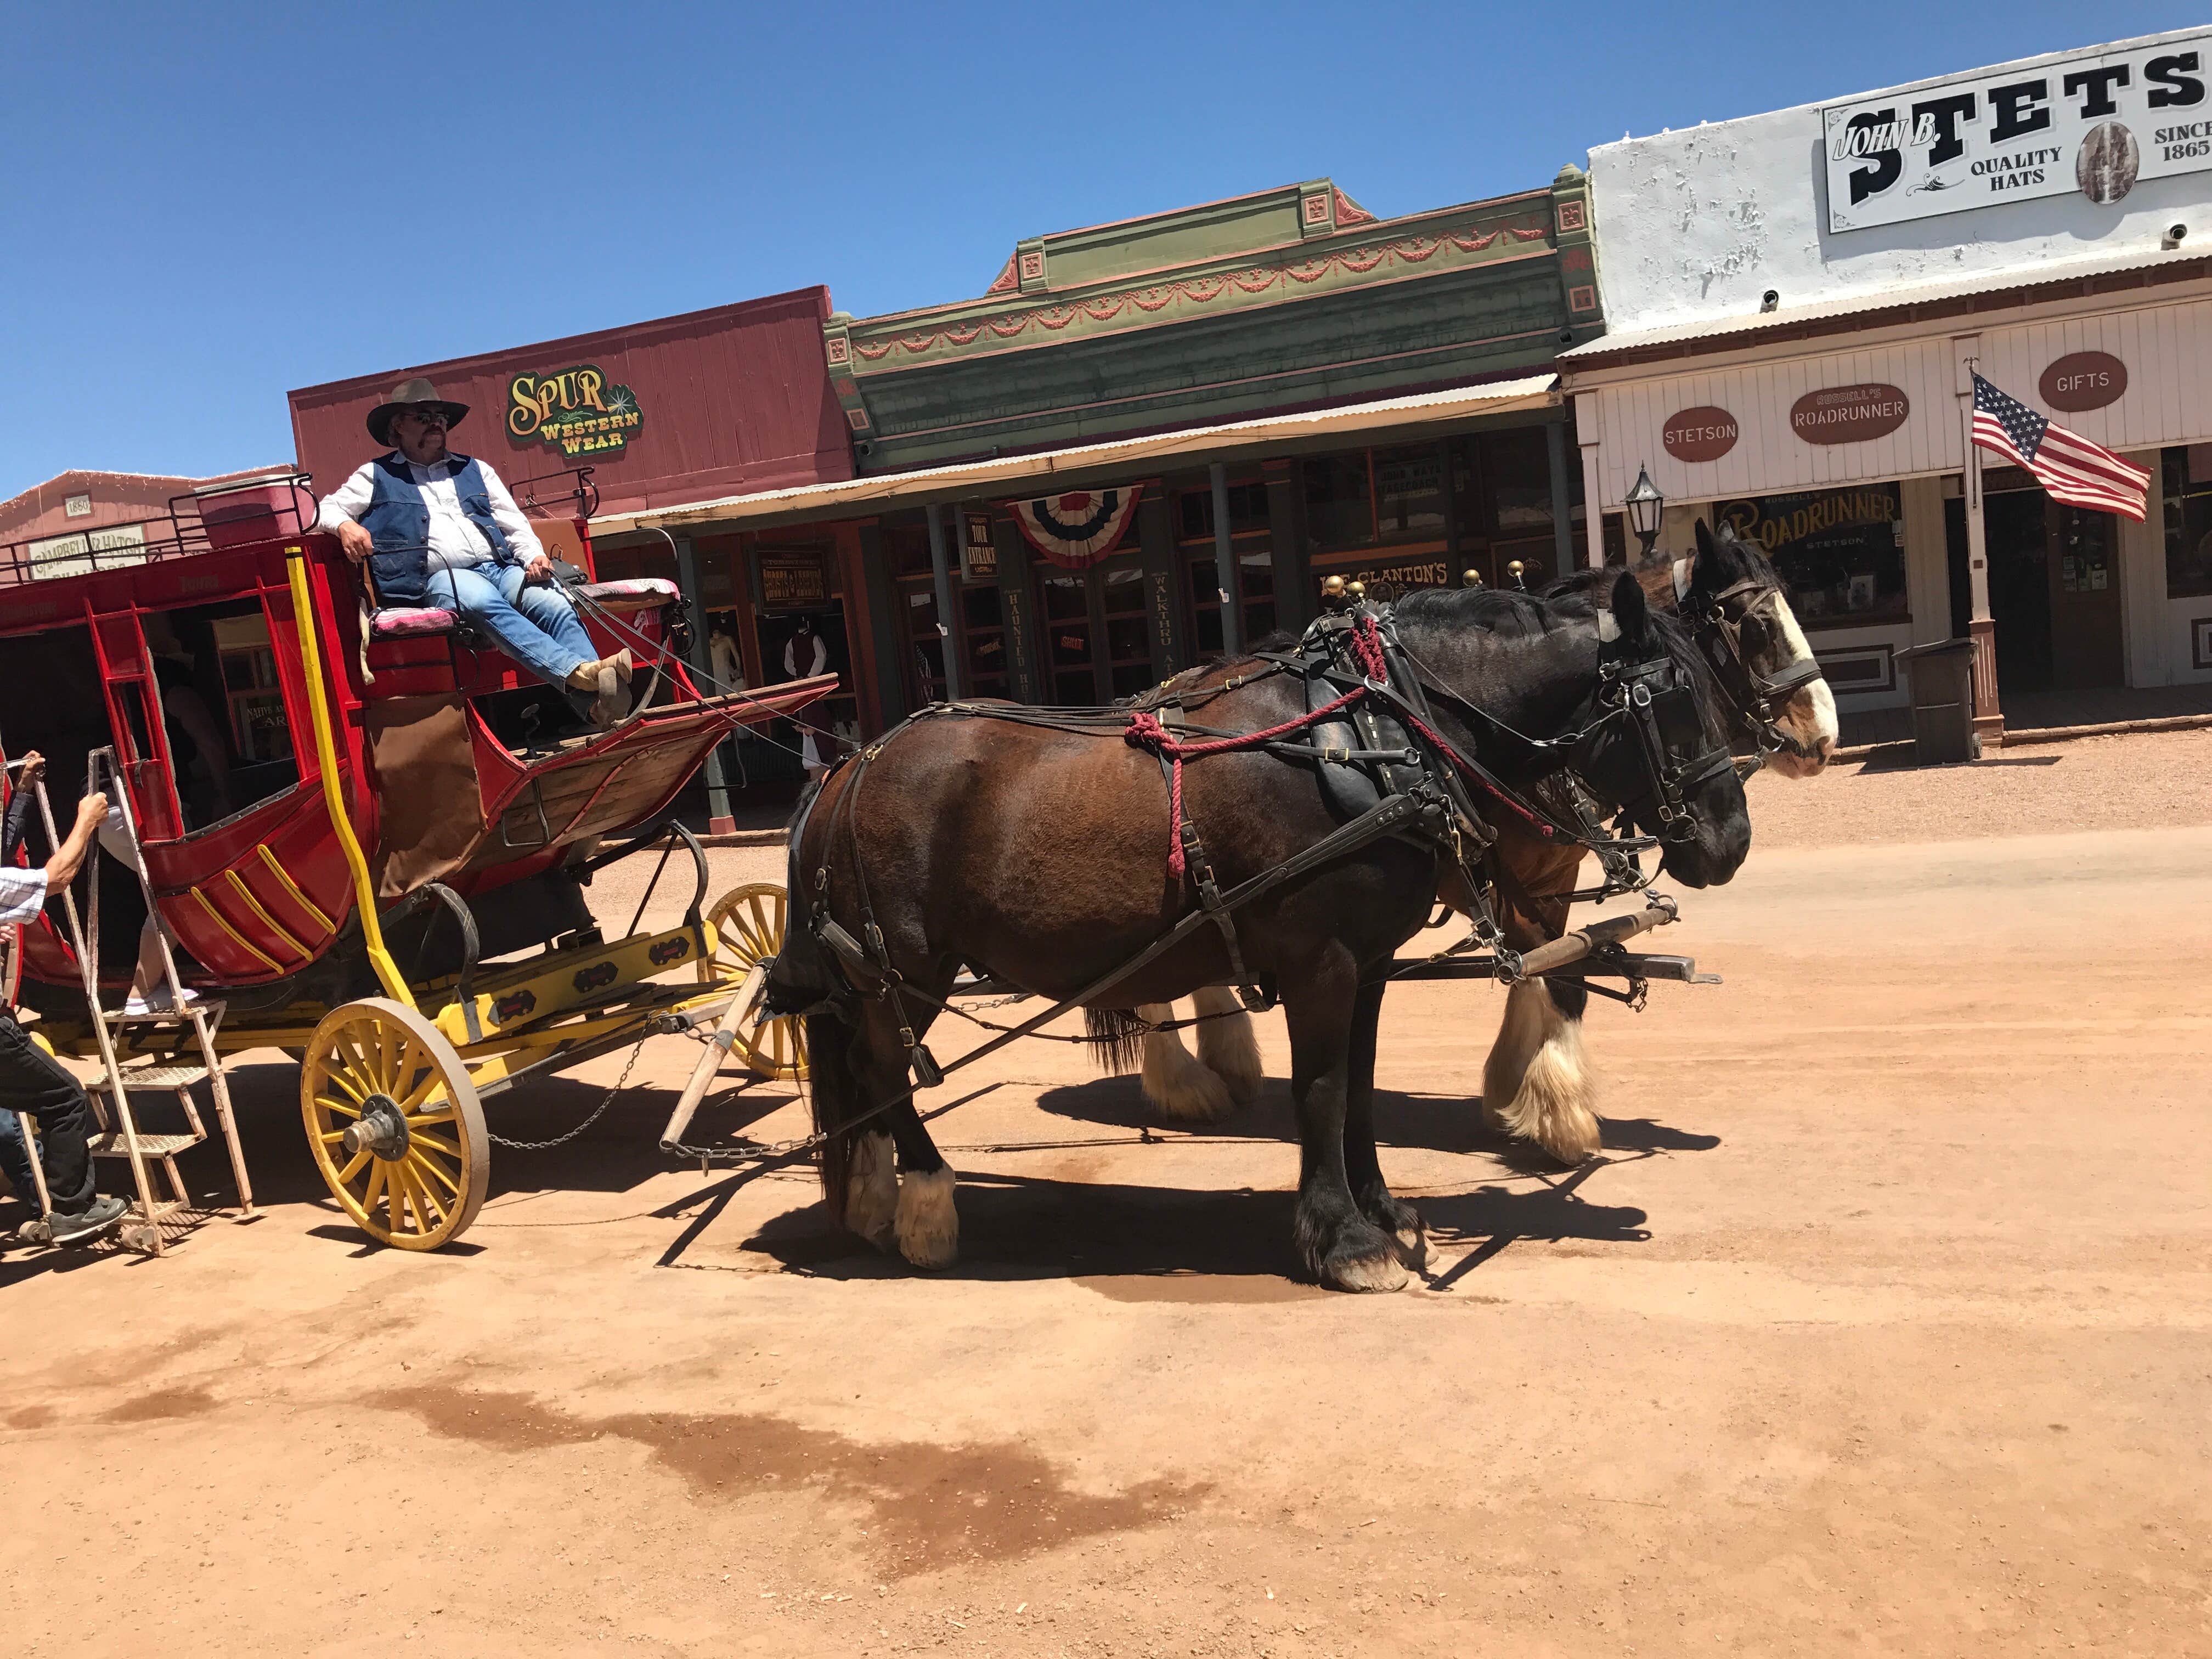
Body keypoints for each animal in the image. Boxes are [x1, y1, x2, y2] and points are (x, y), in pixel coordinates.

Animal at [764, 570, 1750, 1292]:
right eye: (1672, 697)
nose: (1731, 839)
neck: (1373, 731)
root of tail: (849, 767)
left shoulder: (1370, 964)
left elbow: (1358, 1090)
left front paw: (1386, 1212)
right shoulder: (1321, 962)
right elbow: (1319, 1089)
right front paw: (1346, 1239)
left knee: (862, 1070)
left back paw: (870, 1193)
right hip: (906, 969)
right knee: (885, 1072)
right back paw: (925, 1206)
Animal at [1131, 517, 1839, 1161]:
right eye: (1756, 626)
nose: (1824, 737)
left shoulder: (1544, 880)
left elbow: (1548, 968)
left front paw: (1512, 1090)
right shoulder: (1511, 880)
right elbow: (1562, 976)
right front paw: (1560, 1114)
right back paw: (1185, 1081)